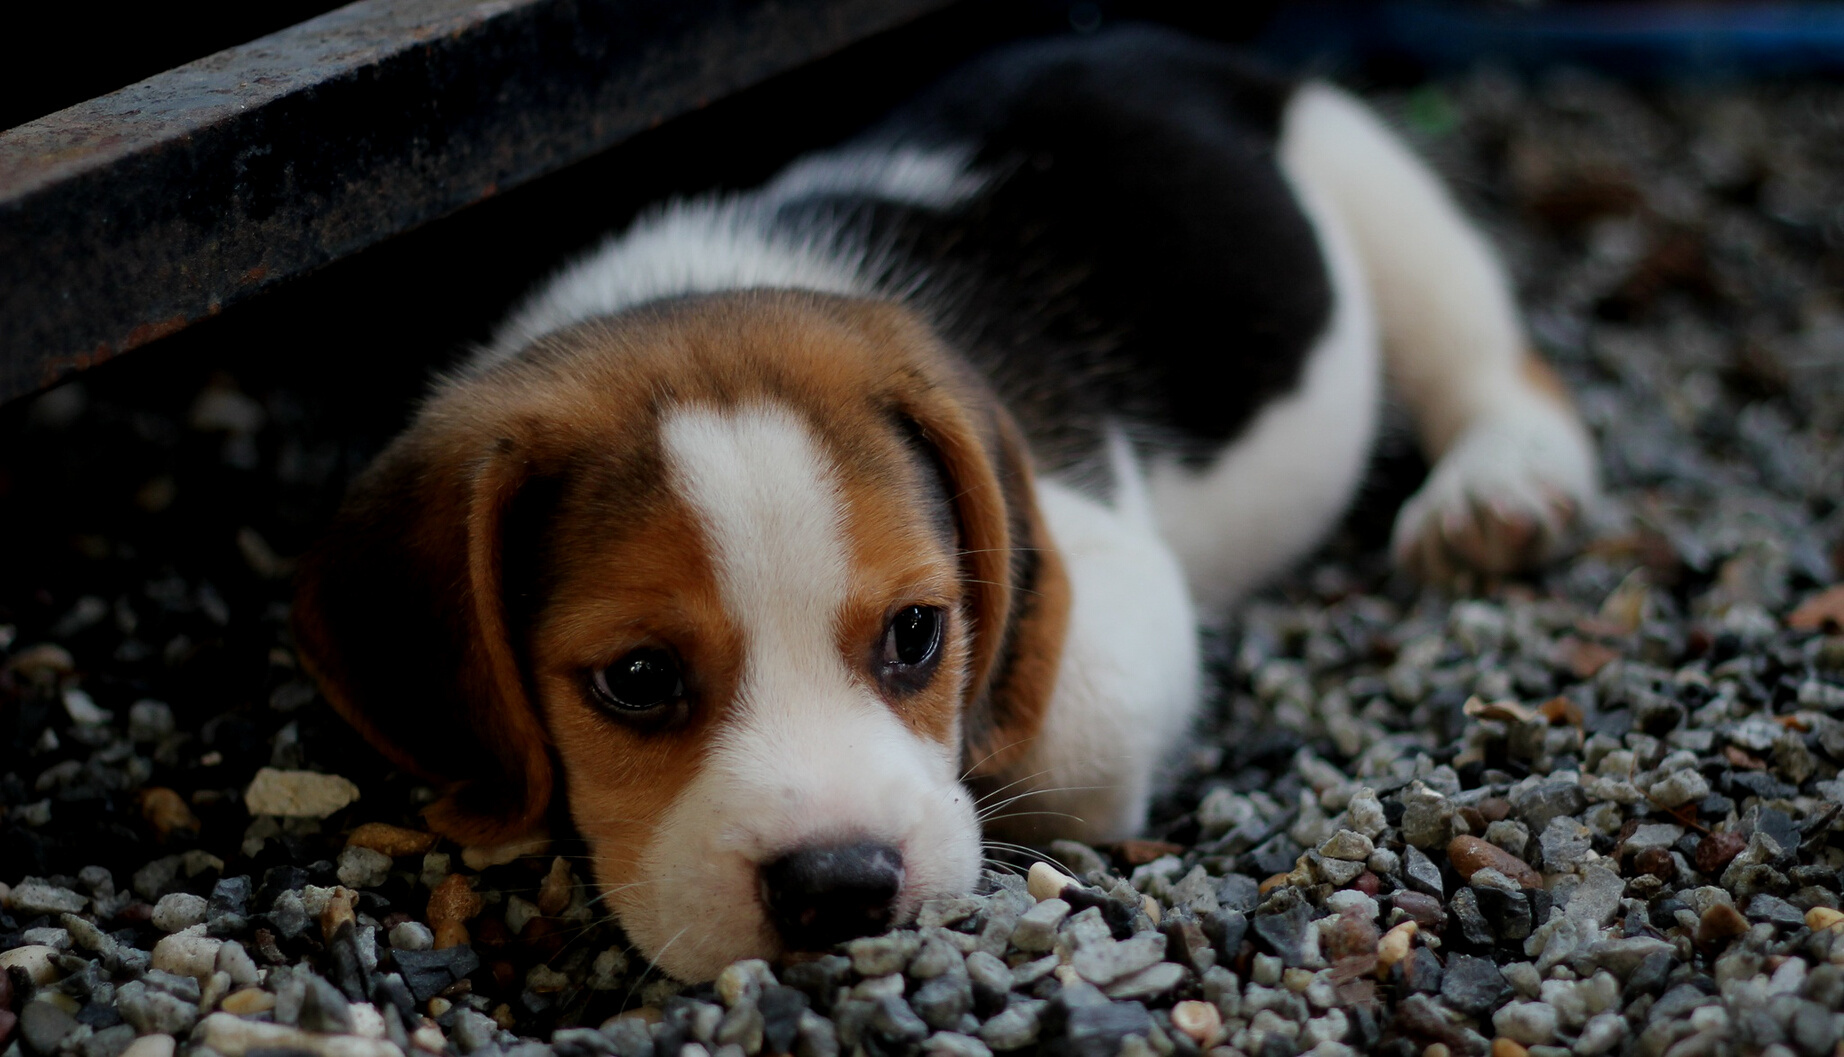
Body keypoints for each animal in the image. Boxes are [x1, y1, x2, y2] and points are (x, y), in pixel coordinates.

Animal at [291, 26, 1600, 981]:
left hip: (1372, 188)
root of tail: (1163, 46)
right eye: (638, 679)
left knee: (1491, 359)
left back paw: (1499, 488)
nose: (839, 887)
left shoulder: (1107, 576)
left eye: (917, 634)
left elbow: (1055, 729)